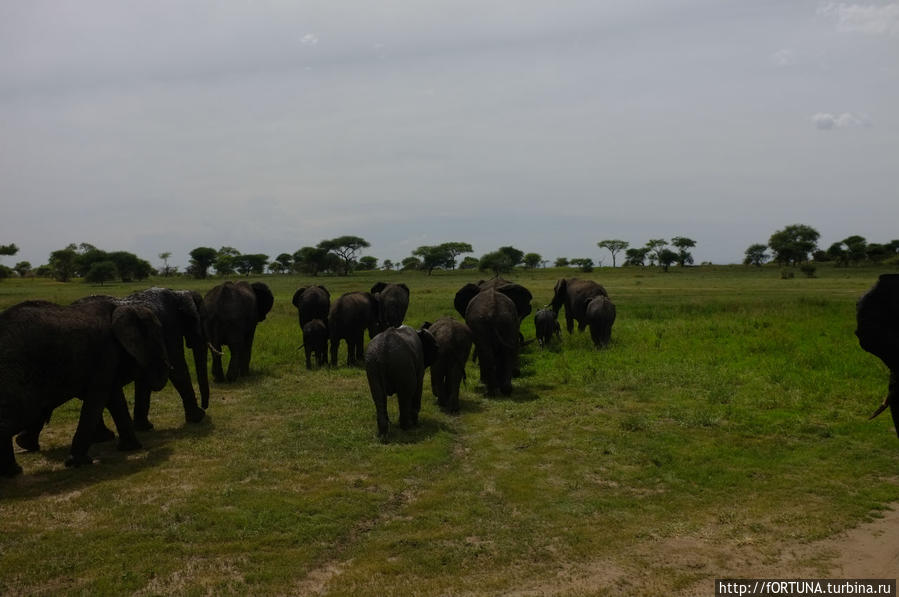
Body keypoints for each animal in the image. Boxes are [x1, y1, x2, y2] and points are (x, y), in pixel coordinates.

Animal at [0, 300, 169, 478]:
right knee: (19, 415)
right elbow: (98, 400)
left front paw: (130, 448)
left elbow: (114, 398)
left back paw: (13, 469)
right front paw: (79, 462)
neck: (121, 307)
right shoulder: (105, 353)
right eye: (158, 337)